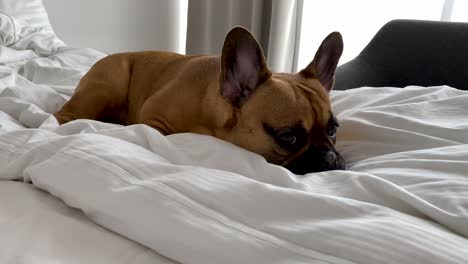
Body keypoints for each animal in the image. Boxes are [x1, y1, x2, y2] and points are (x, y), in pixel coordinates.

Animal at [55, 27, 348, 174]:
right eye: (288, 137)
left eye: (334, 129)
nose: (330, 158)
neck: (212, 121)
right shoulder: (153, 117)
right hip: (107, 87)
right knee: (63, 116)